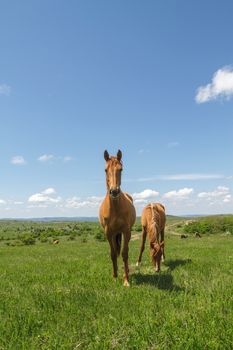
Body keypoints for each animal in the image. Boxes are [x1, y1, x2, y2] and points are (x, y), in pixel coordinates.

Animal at [99, 149, 137, 286]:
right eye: (105, 170)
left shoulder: (126, 231)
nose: (114, 191)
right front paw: (115, 276)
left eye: (121, 169)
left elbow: (125, 253)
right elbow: (113, 253)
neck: (115, 207)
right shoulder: (108, 233)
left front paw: (126, 280)